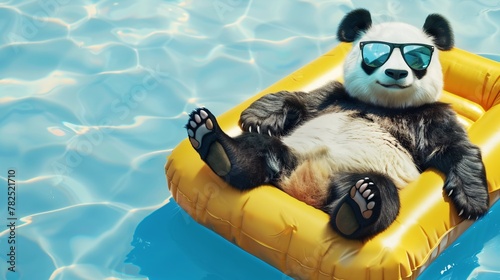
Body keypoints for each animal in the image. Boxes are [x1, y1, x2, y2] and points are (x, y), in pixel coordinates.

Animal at [185, 9, 488, 241]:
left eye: (416, 58)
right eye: (375, 54)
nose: (396, 73)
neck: (385, 105)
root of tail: (303, 188)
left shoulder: (430, 116)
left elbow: (456, 148)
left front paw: (473, 202)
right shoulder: (336, 96)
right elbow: (301, 102)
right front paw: (256, 117)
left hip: (362, 174)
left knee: (382, 195)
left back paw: (359, 207)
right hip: (290, 153)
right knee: (258, 148)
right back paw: (215, 144)